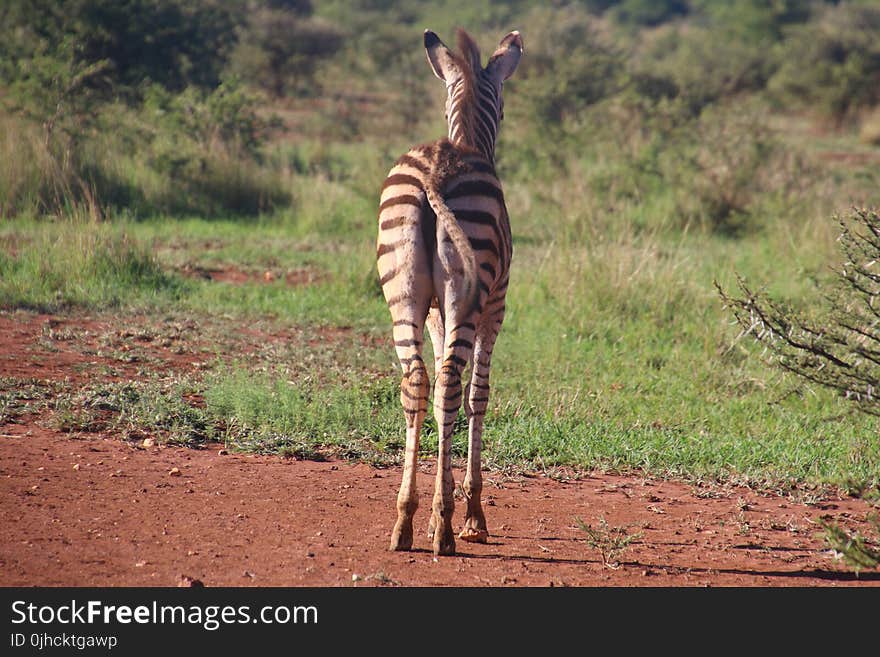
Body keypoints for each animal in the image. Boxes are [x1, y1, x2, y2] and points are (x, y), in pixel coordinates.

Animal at [376, 29, 524, 552]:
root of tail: (438, 170)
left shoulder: (436, 314)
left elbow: (444, 389)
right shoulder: (495, 308)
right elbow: (479, 394)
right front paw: (473, 514)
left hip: (402, 293)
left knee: (419, 381)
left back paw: (405, 521)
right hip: (470, 298)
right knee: (451, 386)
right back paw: (443, 528)